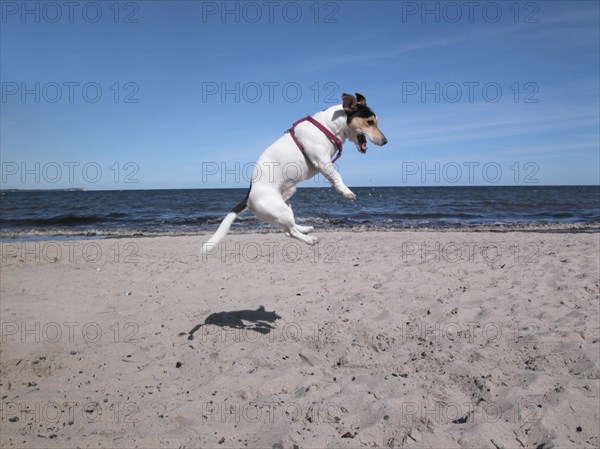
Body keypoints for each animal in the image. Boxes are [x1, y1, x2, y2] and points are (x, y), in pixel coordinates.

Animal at [202, 92, 390, 252]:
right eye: (370, 122)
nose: (386, 141)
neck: (328, 126)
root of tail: (249, 197)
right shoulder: (322, 161)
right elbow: (336, 175)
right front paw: (346, 192)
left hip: (287, 203)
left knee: (289, 228)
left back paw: (305, 228)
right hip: (280, 210)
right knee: (290, 231)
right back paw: (309, 239)